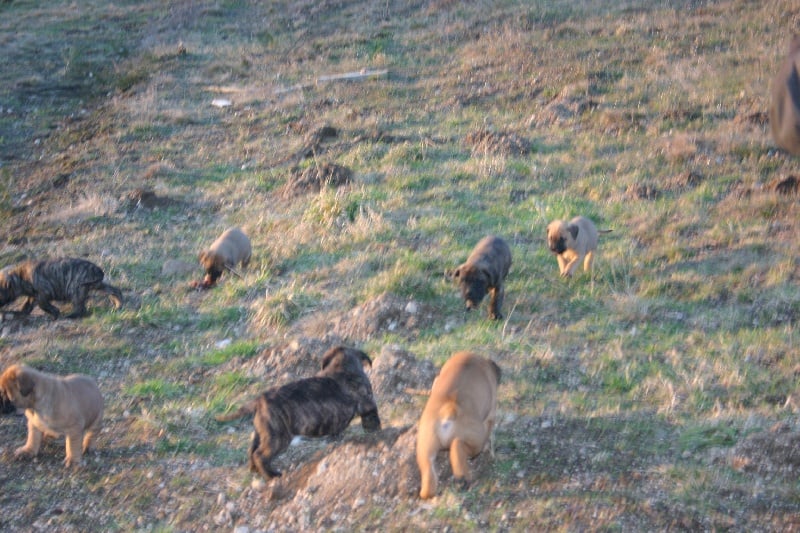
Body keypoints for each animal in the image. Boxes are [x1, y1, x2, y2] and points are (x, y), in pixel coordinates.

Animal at [216, 344, 382, 478]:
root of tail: (259, 401)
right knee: (259, 455)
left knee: (251, 451)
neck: (341, 366)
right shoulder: (369, 406)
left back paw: (255, 470)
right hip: (278, 437)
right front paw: (376, 432)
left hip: (262, 432)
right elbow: (373, 421)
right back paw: (272, 475)